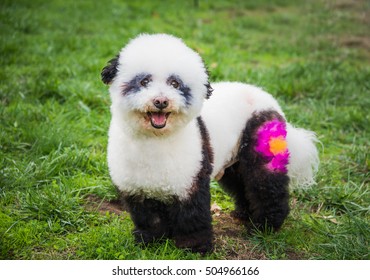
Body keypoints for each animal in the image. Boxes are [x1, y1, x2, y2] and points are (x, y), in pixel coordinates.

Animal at [101, 33, 318, 254]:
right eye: (144, 81)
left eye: (175, 83)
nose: (161, 101)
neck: (155, 137)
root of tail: (270, 100)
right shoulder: (136, 186)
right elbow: (147, 217)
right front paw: (149, 242)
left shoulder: (191, 176)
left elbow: (192, 213)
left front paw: (194, 247)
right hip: (234, 157)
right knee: (241, 182)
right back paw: (244, 214)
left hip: (262, 136)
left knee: (265, 183)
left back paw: (264, 226)